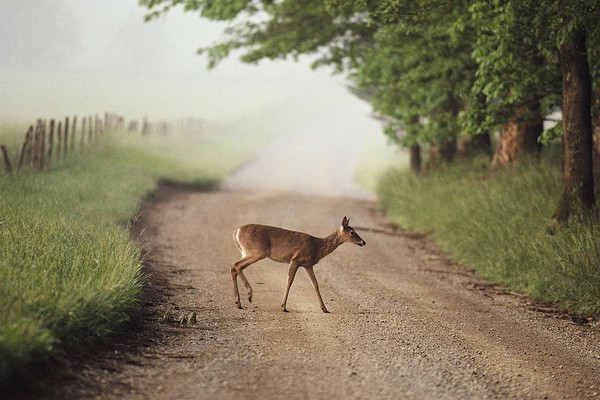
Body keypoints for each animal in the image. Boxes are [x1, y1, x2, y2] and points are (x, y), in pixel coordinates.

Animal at [232, 216, 368, 312]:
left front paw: (324, 308)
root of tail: (236, 231)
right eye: (352, 232)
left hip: (247, 252)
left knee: (234, 267)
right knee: (236, 265)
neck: (317, 247)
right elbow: (290, 280)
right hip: (257, 252)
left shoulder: (308, 265)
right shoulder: (296, 259)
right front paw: (283, 306)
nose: (363, 242)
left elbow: (315, 284)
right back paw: (249, 295)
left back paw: (238, 303)